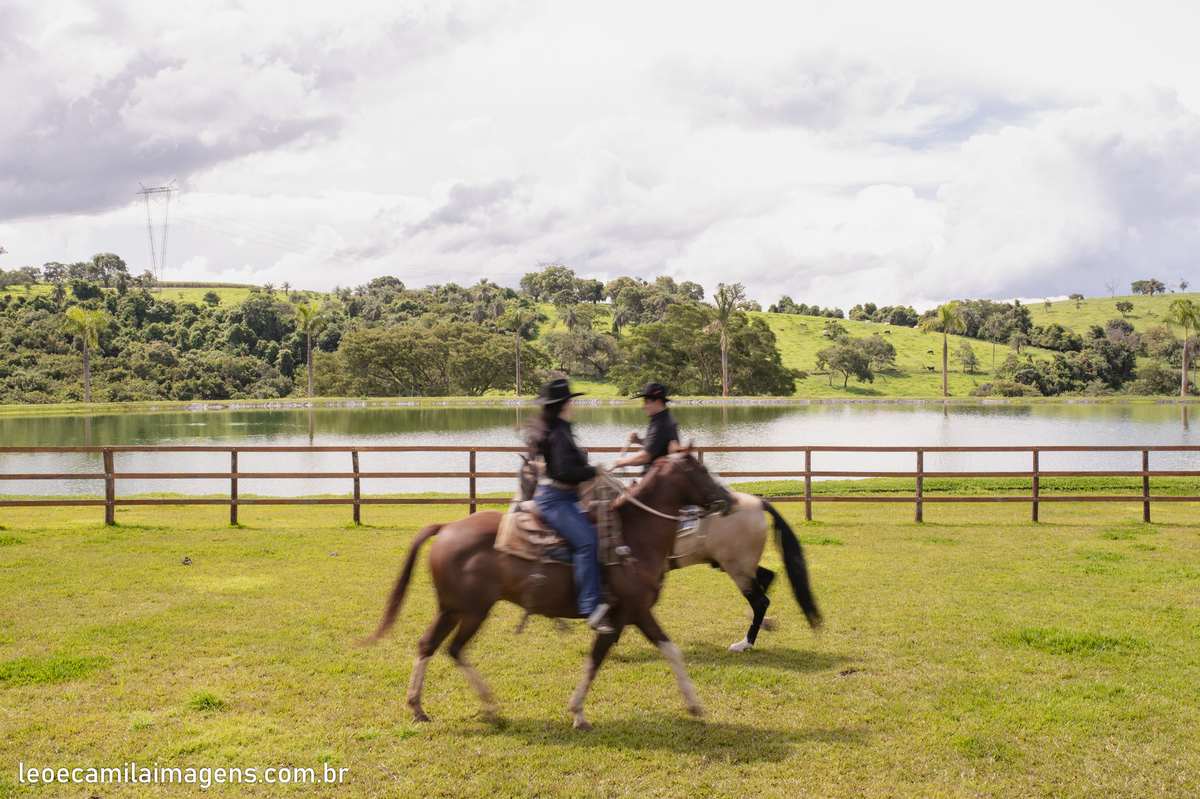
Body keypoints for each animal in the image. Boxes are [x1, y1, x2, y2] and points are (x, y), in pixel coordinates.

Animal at [361, 449, 734, 730]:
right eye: (702, 470)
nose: (728, 499)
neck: (632, 536)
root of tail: (448, 527)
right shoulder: (617, 618)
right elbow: (595, 661)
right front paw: (578, 713)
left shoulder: (639, 612)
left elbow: (671, 651)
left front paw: (694, 705)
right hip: (473, 610)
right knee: (454, 648)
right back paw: (487, 705)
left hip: (450, 609)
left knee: (429, 645)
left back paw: (419, 707)